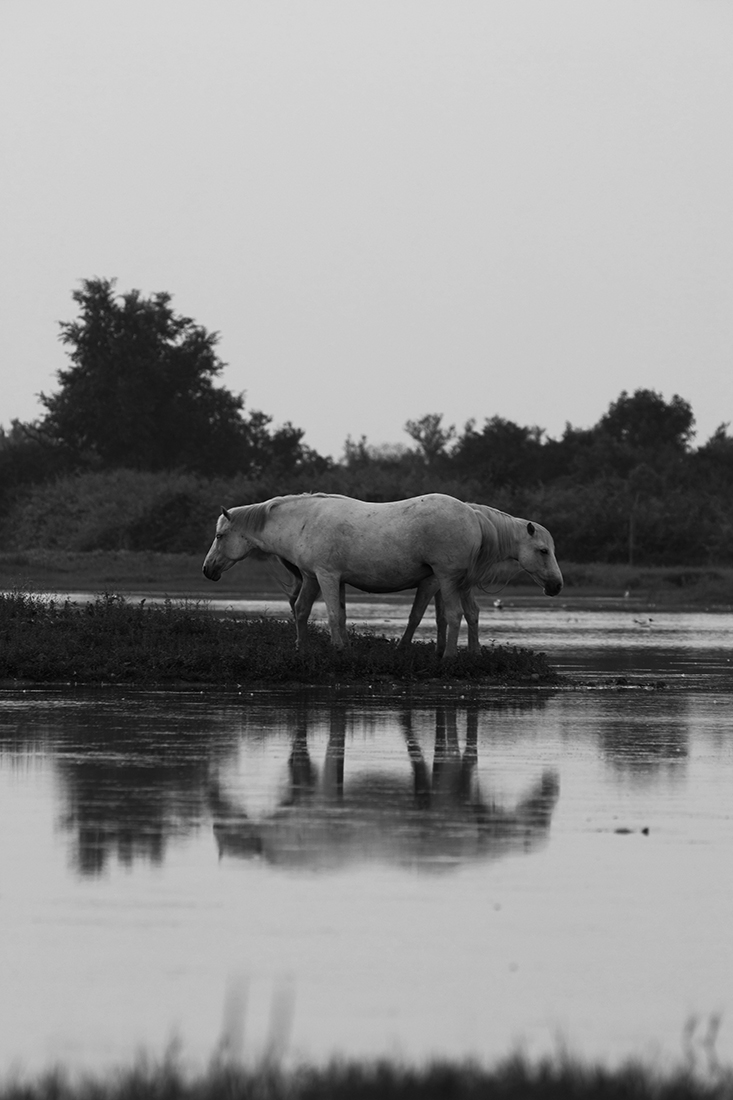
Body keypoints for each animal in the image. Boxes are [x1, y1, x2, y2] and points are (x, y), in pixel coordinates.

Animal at [202, 492, 538, 657]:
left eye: (220, 536)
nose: (207, 570)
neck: (303, 523)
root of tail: (473, 514)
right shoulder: (315, 578)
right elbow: (309, 611)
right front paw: (305, 648)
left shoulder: (326, 576)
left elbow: (330, 614)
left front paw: (337, 649)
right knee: (465, 614)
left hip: (446, 579)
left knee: (454, 615)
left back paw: (449, 657)